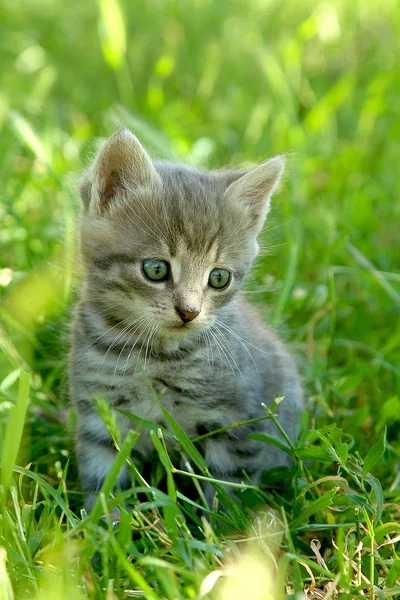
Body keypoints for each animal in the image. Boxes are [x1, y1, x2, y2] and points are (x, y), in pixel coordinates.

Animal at [70, 129, 304, 508]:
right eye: (155, 269)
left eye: (219, 278)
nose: (189, 312)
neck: (153, 355)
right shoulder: (98, 410)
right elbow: (102, 479)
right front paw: (102, 521)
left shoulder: (239, 419)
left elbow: (227, 488)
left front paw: (224, 523)